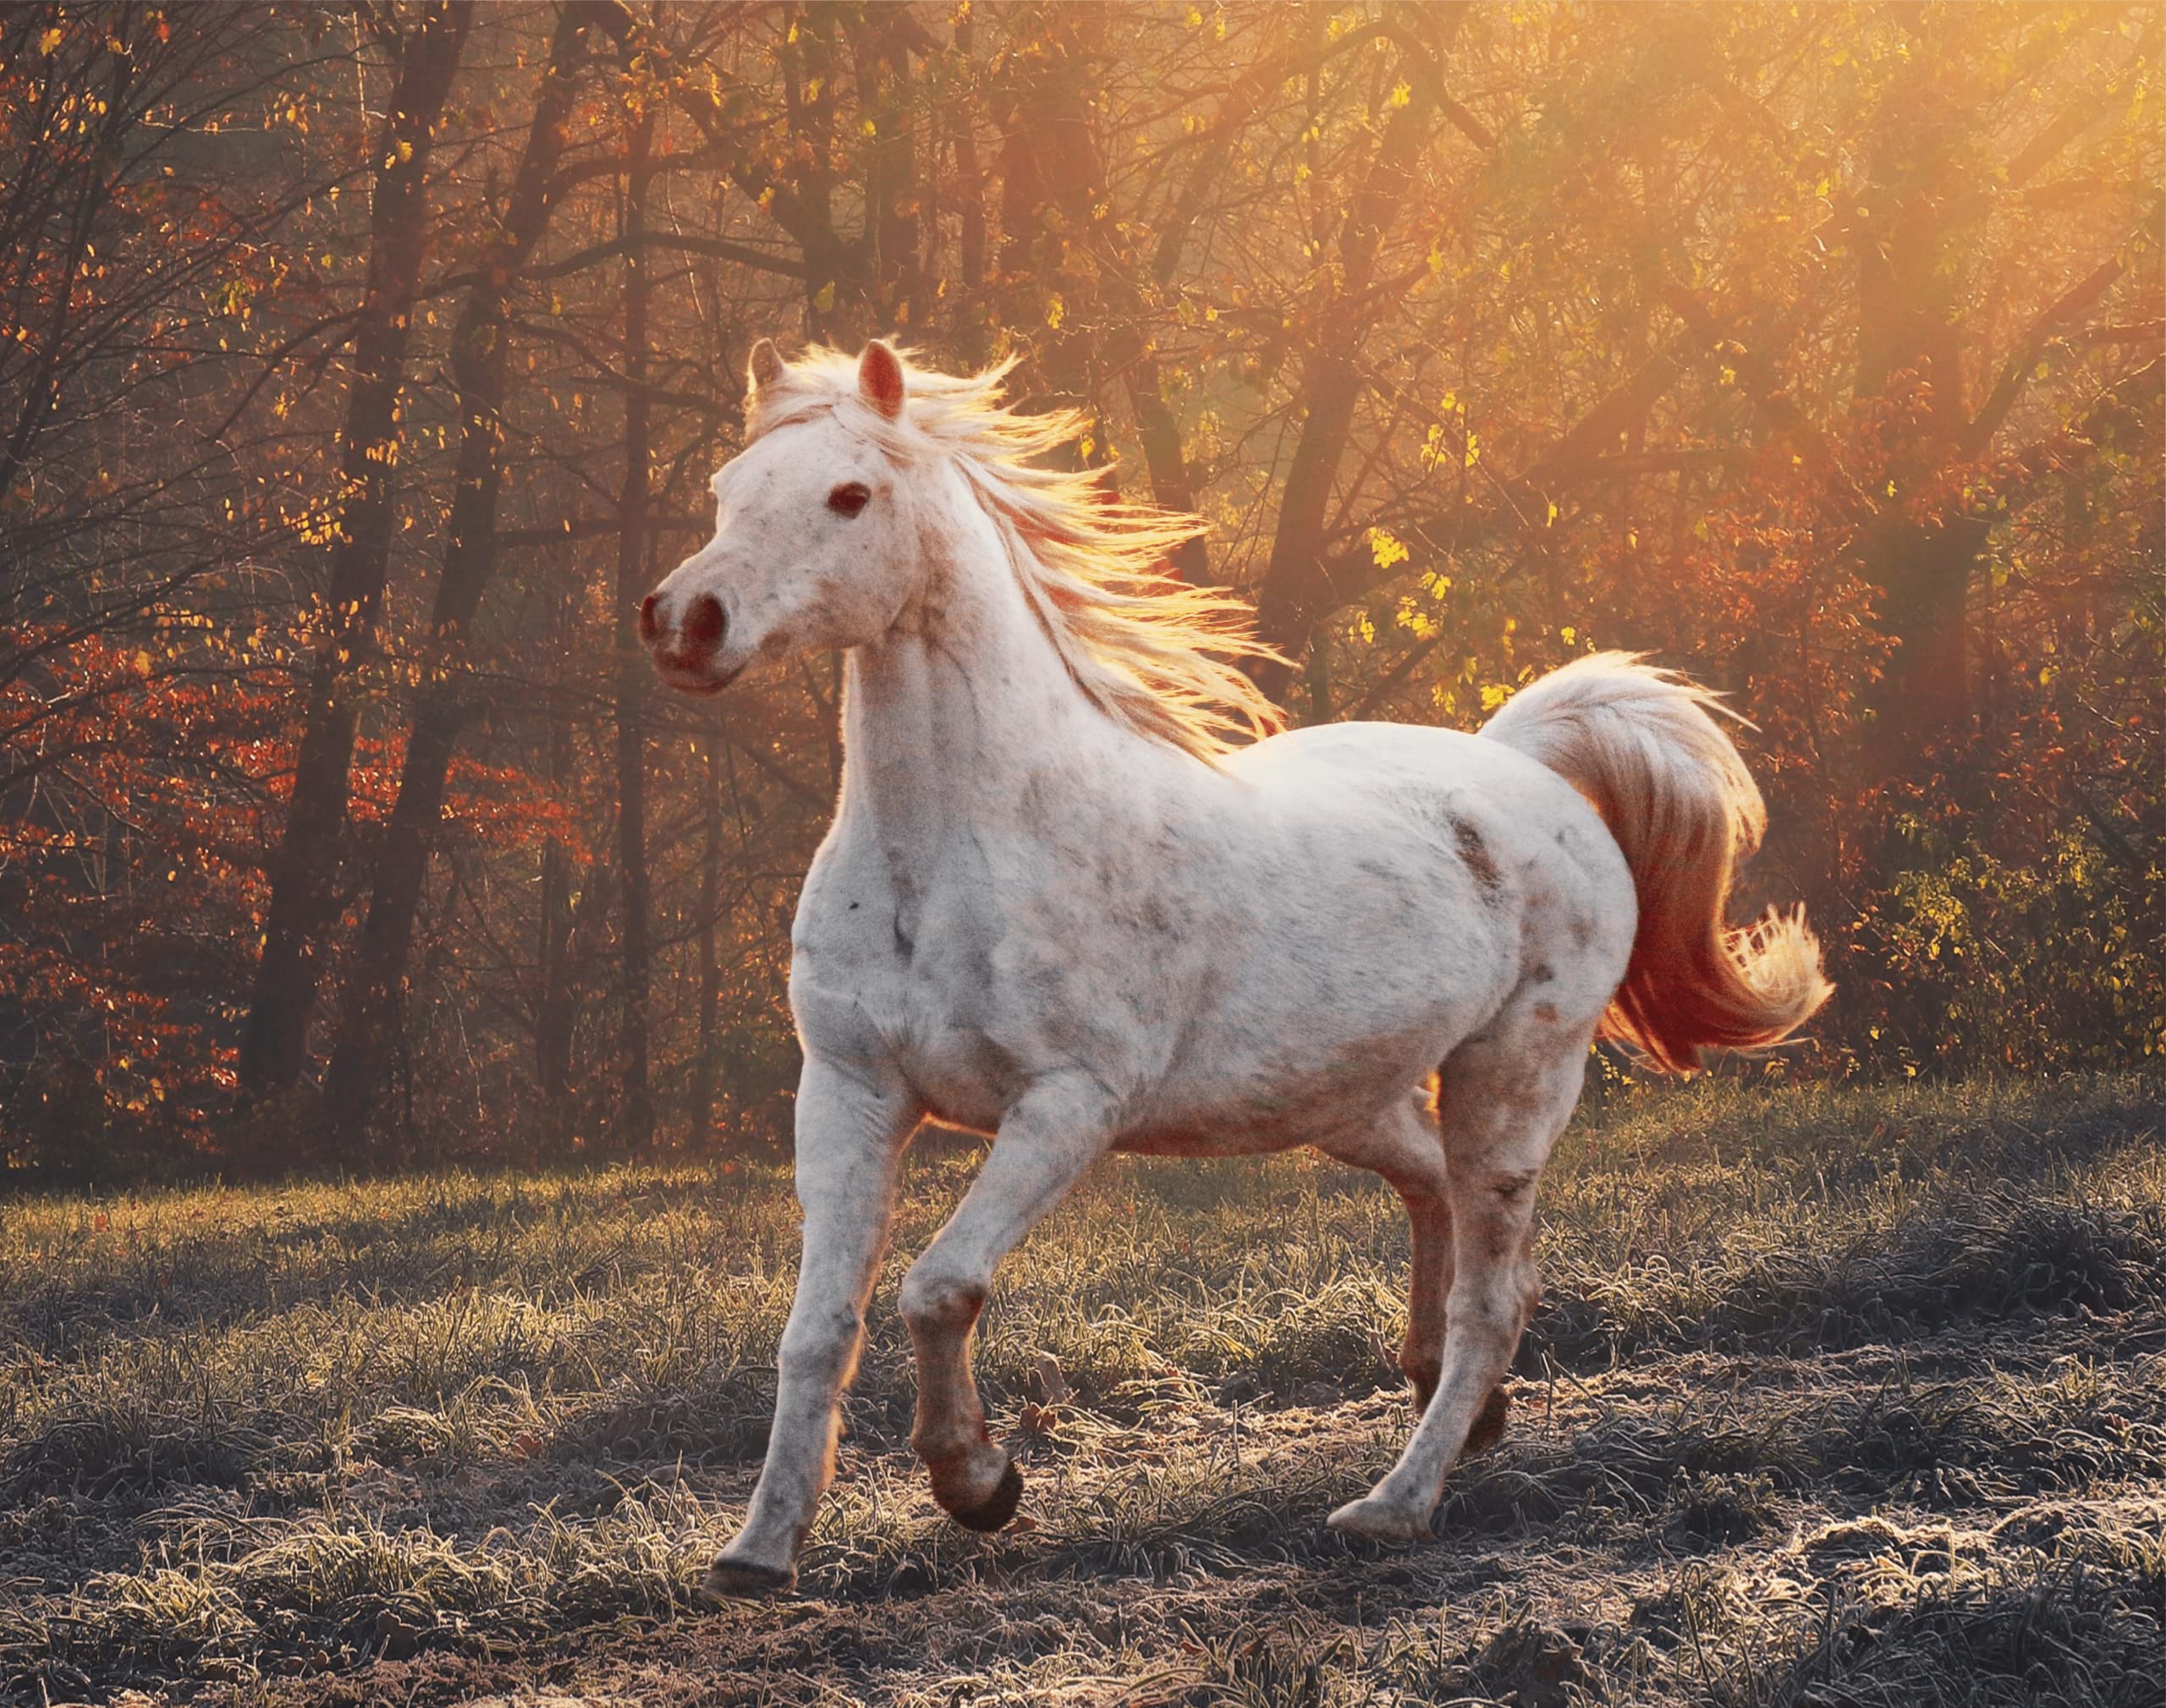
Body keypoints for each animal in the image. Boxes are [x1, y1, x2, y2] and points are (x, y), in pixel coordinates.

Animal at [638, 338, 1830, 1596]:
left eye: (849, 495)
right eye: (728, 487)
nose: (685, 621)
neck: (965, 844)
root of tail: (1523, 766)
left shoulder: (1067, 1104)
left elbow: (936, 1287)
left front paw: (978, 1481)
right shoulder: (851, 1091)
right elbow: (817, 1327)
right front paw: (758, 1549)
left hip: (1513, 1081)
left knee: (1494, 1297)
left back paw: (1394, 1504)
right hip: (1341, 1097)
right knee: (1433, 1194)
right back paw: (1452, 1403)